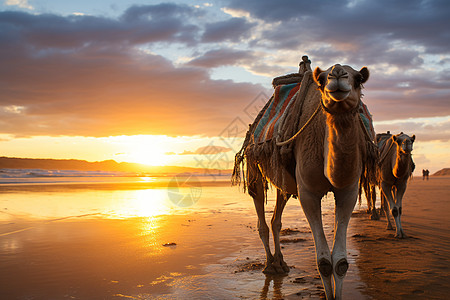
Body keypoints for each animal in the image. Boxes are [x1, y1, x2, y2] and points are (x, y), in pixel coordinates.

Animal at [232, 58, 376, 300]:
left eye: (358, 78)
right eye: (322, 79)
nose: (338, 74)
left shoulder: (348, 190)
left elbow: (341, 263)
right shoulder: (308, 192)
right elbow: (324, 263)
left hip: (285, 182)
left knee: (276, 218)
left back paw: (281, 264)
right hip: (254, 161)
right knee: (260, 212)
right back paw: (270, 264)